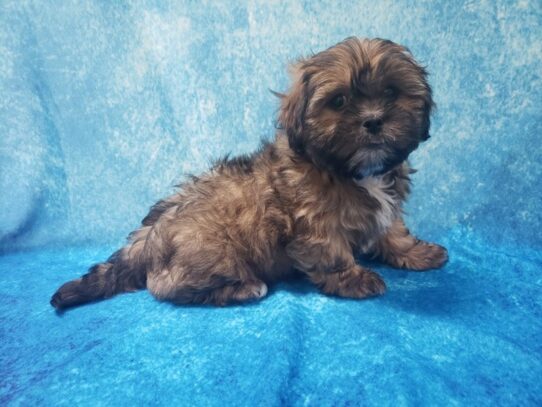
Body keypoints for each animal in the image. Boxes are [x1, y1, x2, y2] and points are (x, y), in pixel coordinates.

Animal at [52, 38, 450, 310]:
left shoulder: (387, 204)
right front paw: (353, 279)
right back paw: (243, 287)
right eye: (339, 101)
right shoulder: (315, 225)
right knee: (165, 287)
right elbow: (332, 253)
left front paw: (416, 252)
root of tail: (147, 237)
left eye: (391, 92)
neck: (350, 170)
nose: (373, 120)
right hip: (211, 250)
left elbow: (393, 230)